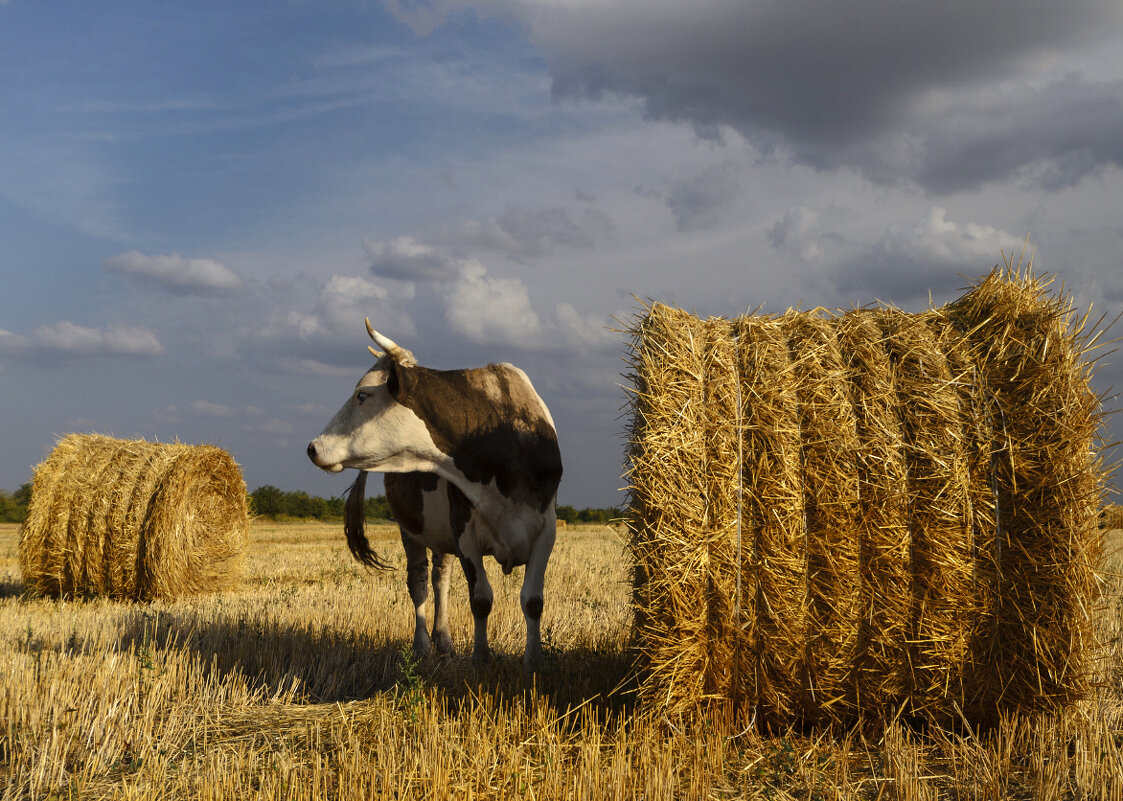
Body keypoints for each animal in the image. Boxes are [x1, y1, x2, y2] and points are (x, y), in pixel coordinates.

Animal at [305, 321, 561, 669]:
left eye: (362, 395)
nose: (313, 448)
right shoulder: (465, 531)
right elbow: (481, 599)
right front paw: (481, 659)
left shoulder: (546, 528)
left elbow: (533, 601)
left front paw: (533, 662)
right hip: (410, 529)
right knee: (420, 583)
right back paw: (423, 645)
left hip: (443, 538)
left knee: (441, 580)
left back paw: (445, 641)